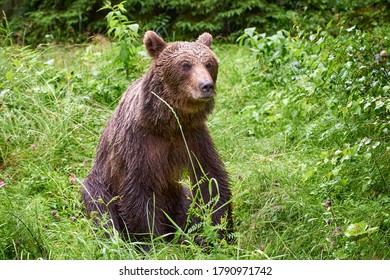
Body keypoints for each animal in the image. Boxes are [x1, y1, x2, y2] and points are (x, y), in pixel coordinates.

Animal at [82, 30, 232, 241]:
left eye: (209, 63)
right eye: (185, 64)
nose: (206, 86)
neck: (167, 122)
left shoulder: (193, 136)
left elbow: (211, 178)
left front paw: (217, 230)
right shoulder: (138, 143)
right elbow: (138, 192)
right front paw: (152, 240)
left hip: (177, 194)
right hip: (100, 182)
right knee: (102, 210)